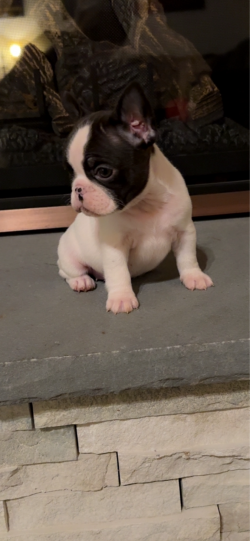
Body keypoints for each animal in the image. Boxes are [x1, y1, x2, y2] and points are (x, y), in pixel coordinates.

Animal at [58, 82, 213, 314]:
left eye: (103, 172)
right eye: (70, 172)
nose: (78, 189)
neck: (146, 202)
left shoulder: (184, 231)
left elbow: (188, 257)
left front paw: (194, 276)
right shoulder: (114, 246)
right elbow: (118, 272)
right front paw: (122, 297)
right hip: (69, 254)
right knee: (68, 272)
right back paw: (81, 281)